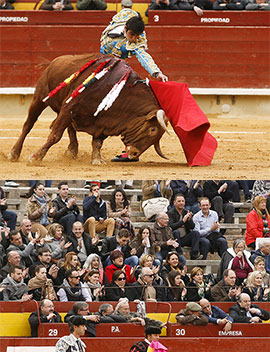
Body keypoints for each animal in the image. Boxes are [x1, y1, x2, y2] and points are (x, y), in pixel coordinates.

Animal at [8, 52, 169, 165]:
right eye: (152, 129)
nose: (134, 154)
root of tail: (53, 62)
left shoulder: (104, 121)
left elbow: (97, 142)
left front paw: (97, 160)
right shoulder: (69, 107)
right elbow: (55, 135)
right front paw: (36, 157)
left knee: (69, 128)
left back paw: (72, 151)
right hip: (40, 98)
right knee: (28, 125)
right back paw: (14, 153)